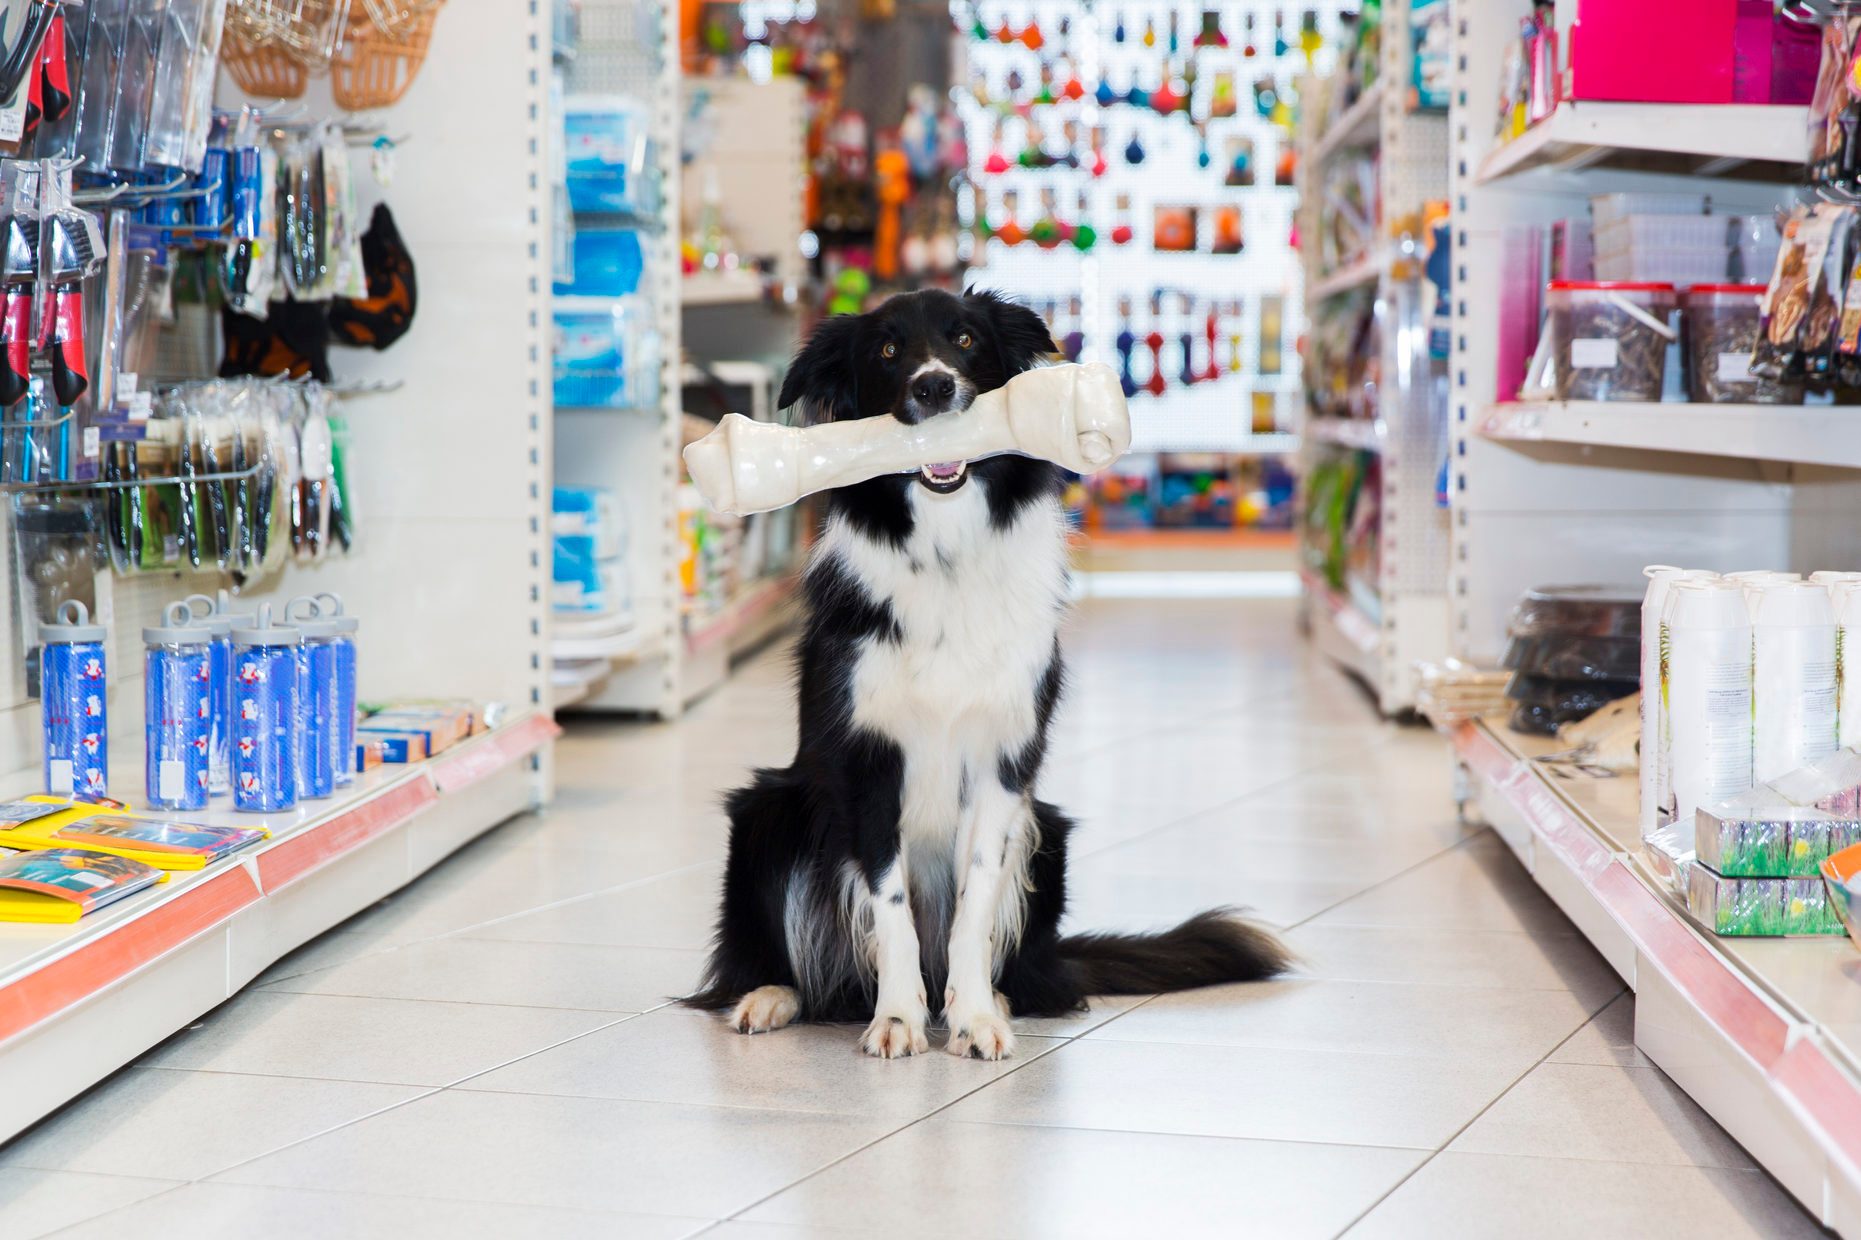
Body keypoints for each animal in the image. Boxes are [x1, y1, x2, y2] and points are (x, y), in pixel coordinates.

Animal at [692, 290, 1287, 1050]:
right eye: (888, 351)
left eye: (967, 339)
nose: (934, 387)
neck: (945, 549)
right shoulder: (866, 763)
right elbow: (890, 907)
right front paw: (897, 1017)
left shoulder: (1003, 762)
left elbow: (973, 903)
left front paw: (973, 1016)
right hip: (770, 809)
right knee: (800, 967)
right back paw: (773, 996)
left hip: (1047, 834)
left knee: (1032, 975)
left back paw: (998, 997)